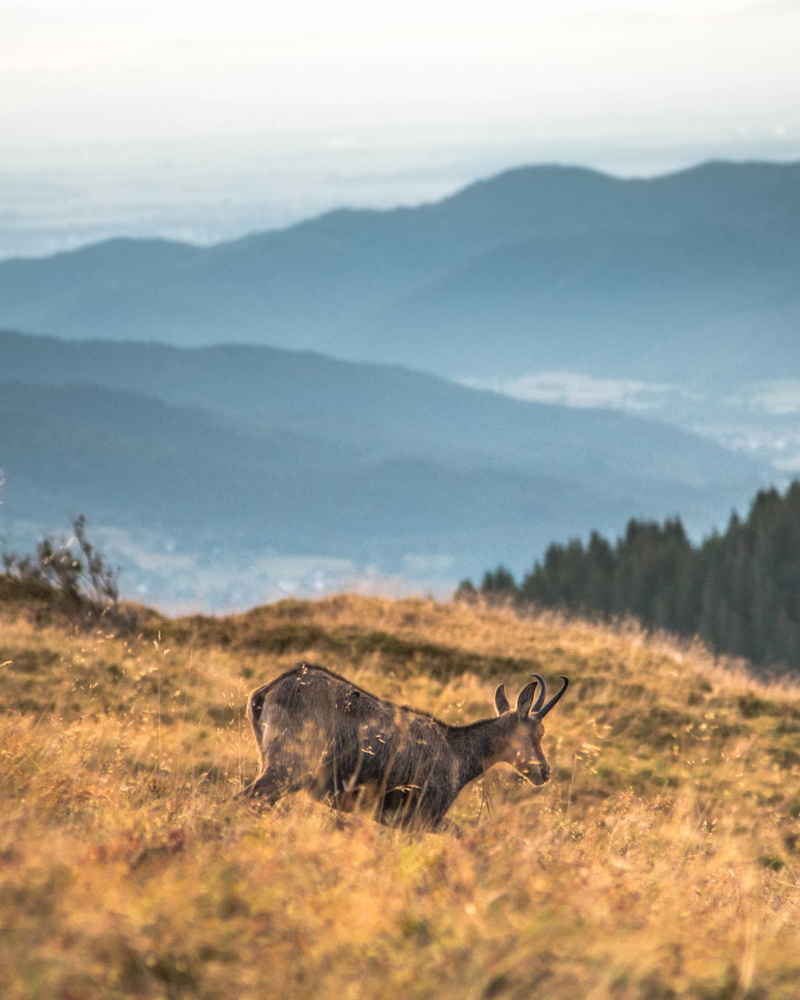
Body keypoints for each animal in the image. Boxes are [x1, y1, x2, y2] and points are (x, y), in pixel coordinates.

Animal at [238, 662, 569, 828]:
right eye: (538, 731)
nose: (545, 772)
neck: (458, 753)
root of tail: (264, 692)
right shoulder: (420, 817)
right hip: (288, 767)